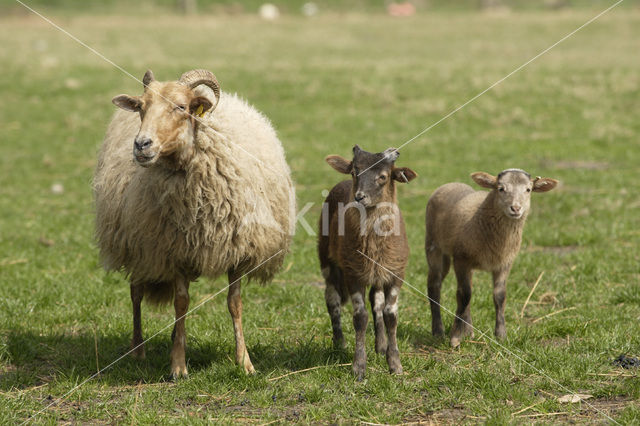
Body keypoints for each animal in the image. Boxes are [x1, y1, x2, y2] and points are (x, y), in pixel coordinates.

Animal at [94, 70, 296, 380]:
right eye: (141, 107)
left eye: (181, 107)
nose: (141, 145)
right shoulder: (172, 251)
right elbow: (181, 303)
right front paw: (178, 365)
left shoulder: (237, 249)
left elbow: (234, 304)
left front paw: (244, 362)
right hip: (137, 245)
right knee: (136, 294)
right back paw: (138, 349)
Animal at [424, 168, 556, 348]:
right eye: (501, 189)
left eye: (528, 190)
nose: (516, 208)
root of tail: (450, 184)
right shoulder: (461, 259)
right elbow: (464, 295)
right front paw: (456, 337)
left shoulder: (504, 263)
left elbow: (499, 296)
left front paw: (501, 335)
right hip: (434, 247)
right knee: (435, 286)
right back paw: (438, 331)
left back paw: (469, 330)